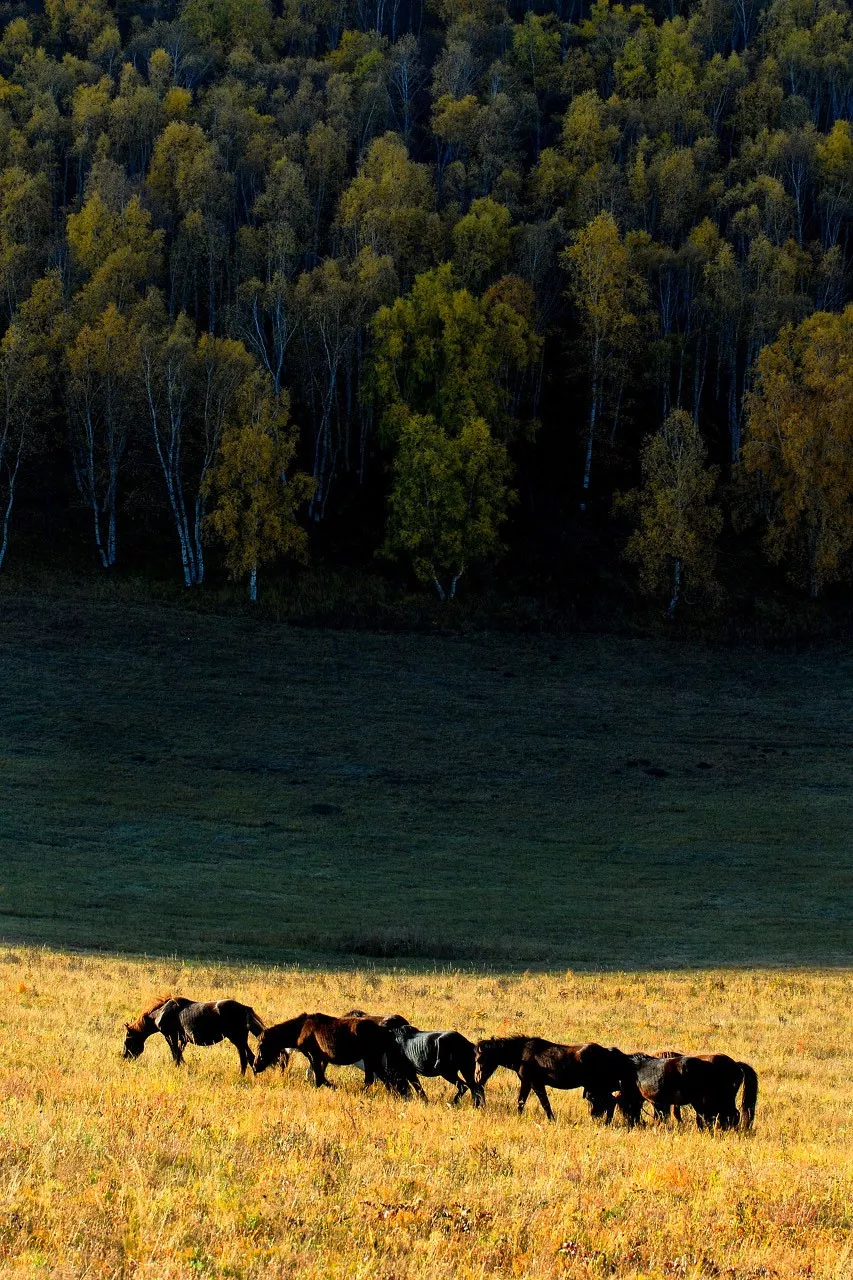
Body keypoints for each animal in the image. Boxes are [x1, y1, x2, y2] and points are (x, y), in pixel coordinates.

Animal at [121, 993, 263, 1075]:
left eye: (127, 1040)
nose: (124, 1057)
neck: (161, 1012)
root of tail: (245, 1008)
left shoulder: (170, 1036)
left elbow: (175, 1053)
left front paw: (177, 1067)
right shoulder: (182, 1039)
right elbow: (179, 1053)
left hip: (237, 1039)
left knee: (246, 1057)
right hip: (240, 1040)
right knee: (248, 1057)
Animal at [252, 1013, 425, 1095]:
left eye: (261, 1045)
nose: (254, 1066)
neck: (301, 1029)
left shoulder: (314, 1055)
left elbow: (320, 1079)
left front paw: (334, 1088)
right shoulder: (321, 1058)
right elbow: (319, 1077)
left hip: (372, 1058)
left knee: (383, 1080)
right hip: (372, 1060)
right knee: (386, 1080)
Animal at [471, 1039, 630, 1121]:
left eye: (479, 1059)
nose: (477, 1080)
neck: (522, 1054)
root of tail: (609, 1051)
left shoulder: (536, 1083)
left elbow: (545, 1103)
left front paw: (551, 1120)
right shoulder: (526, 1083)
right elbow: (521, 1101)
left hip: (599, 1086)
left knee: (611, 1102)